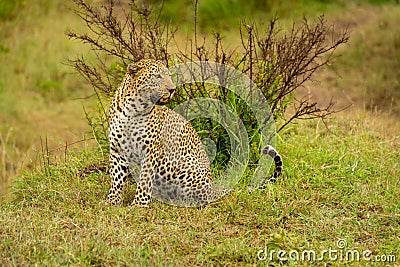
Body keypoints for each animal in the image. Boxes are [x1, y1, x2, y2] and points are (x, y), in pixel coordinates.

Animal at [104, 59, 282, 208]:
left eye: (169, 76)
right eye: (157, 76)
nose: (172, 89)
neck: (133, 108)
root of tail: (213, 187)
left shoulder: (150, 152)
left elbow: (144, 181)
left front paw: (138, 205)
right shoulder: (117, 150)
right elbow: (116, 178)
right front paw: (112, 201)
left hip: (182, 165)